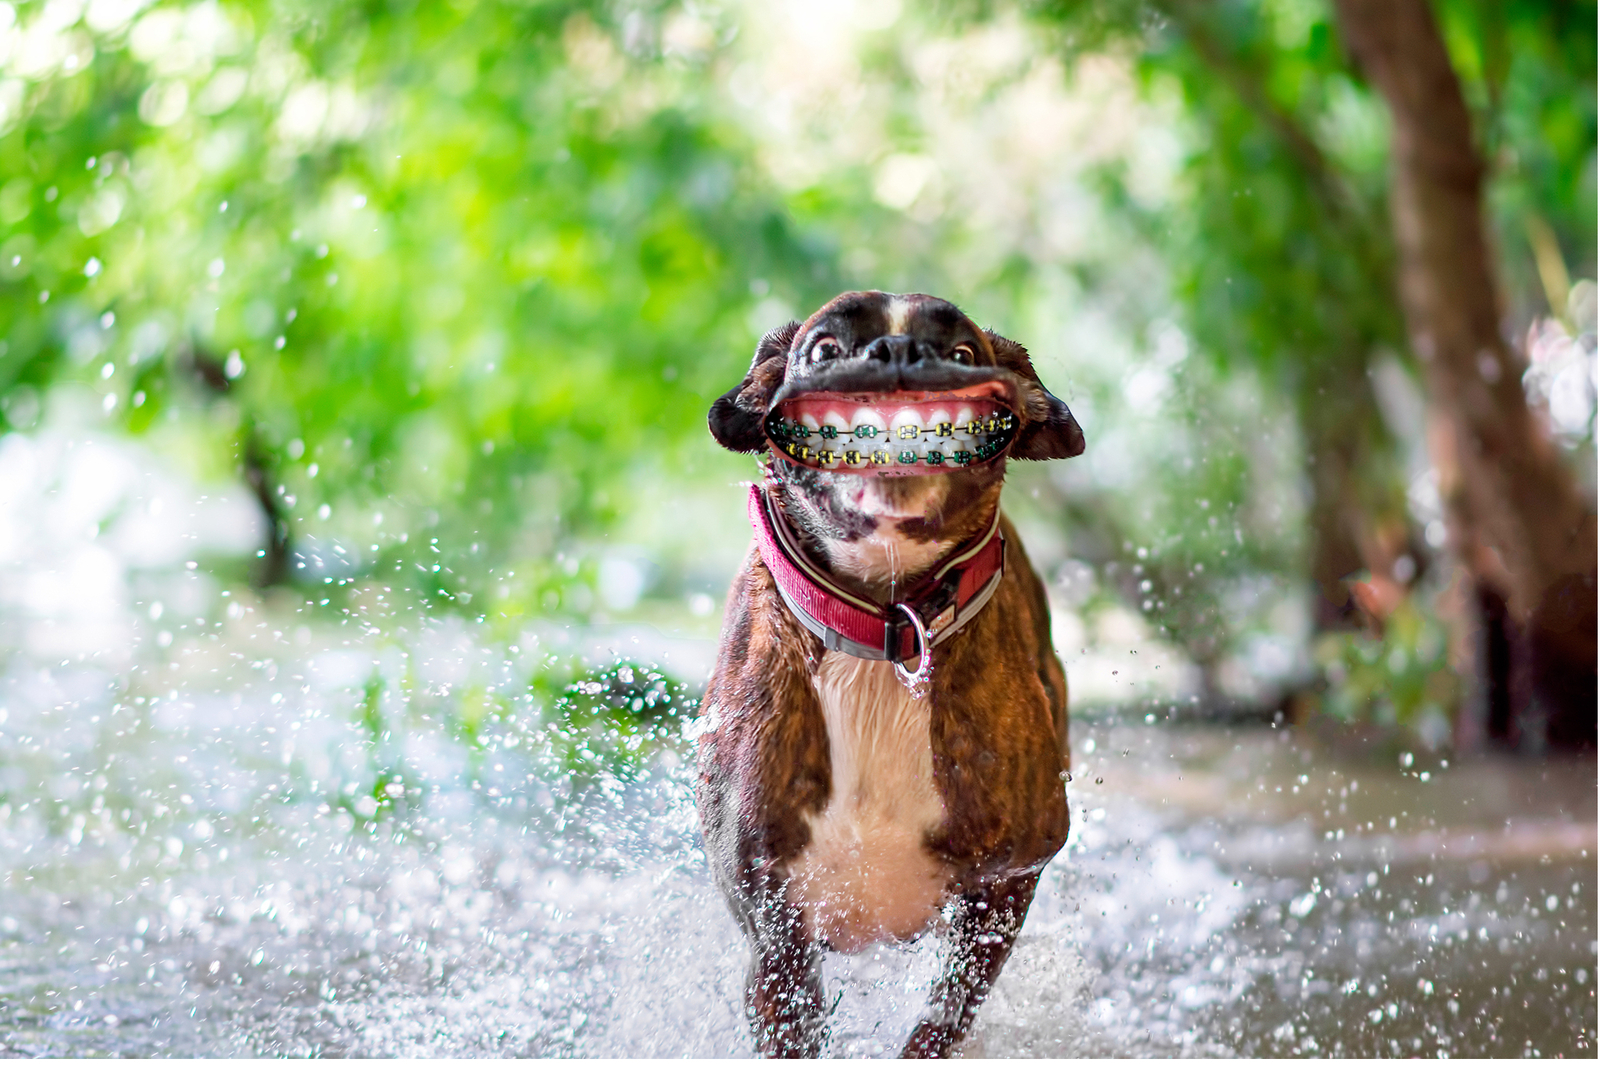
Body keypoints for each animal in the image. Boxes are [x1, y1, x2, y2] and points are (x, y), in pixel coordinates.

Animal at [694, 291, 1081, 1056]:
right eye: (823, 349)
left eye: (962, 354)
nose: (898, 354)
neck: (887, 618)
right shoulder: (775, 936)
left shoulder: (1008, 882)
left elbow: (941, 1020)